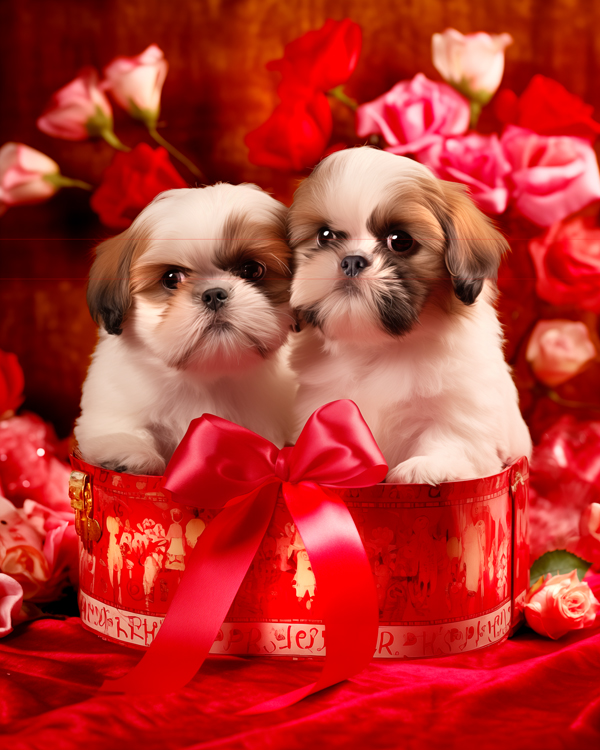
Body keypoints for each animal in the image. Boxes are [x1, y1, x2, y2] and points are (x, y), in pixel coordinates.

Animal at [75, 184, 296, 476]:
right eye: (171, 278)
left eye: (251, 270)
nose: (213, 294)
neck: (208, 376)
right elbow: (118, 425)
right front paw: (127, 452)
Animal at [288, 148, 532, 488]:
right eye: (325, 236)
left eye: (400, 240)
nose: (351, 261)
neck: (380, 346)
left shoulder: (464, 401)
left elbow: (452, 434)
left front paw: (429, 466)